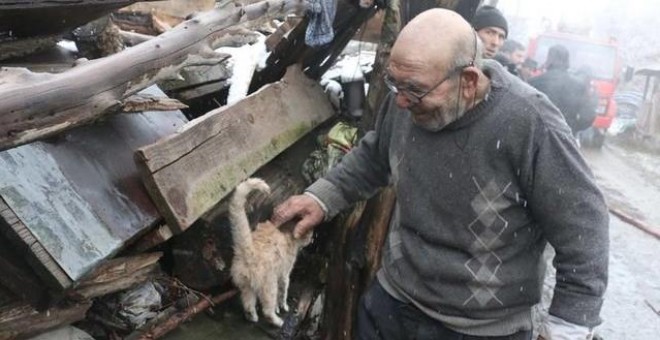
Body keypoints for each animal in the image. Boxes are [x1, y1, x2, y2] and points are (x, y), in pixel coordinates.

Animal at [228, 178, 314, 326]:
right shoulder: (284, 274)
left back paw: (253, 318)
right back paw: (278, 321)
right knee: (267, 311)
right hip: (269, 285)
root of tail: (248, 251)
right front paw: (283, 307)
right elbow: (283, 293)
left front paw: (278, 308)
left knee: (248, 306)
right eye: (309, 233)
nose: (313, 238)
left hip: (246, 287)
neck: (287, 230)